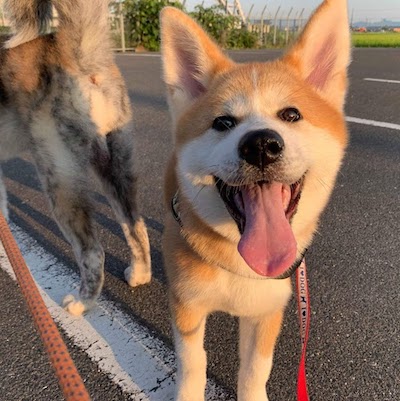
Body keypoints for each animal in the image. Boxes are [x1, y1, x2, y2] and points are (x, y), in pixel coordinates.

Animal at [0, 0, 152, 314]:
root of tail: (78, 51)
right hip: (113, 166)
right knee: (135, 225)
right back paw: (139, 274)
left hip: (58, 178)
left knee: (93, 252)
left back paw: (82, 303)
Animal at [161, 0, 352, 398]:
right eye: (222, 122)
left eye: (291, 114)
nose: (261, 144)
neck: (240, 263)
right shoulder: (187, 305)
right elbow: (192, 363)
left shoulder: (266, 312)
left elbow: (254, 371)